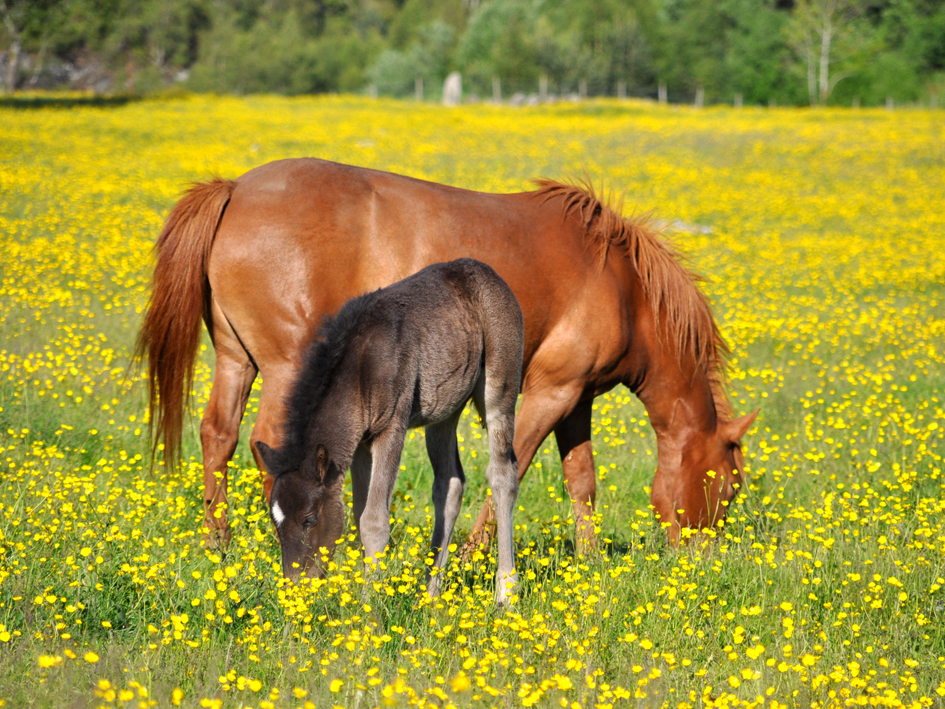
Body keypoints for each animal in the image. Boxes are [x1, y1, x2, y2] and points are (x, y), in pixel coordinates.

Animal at [136, 159, 756, 548]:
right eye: (728, 487)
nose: (697, 558)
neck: (621, 285)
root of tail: (236, 188)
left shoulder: (577, 399)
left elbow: (581, 479)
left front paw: (589, 560)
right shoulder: (549, 392)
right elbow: (513, 467)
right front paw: (472, 552)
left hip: (237, 360)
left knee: (218, 435)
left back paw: (221, 543)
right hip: (287, 368)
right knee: (270, 445)